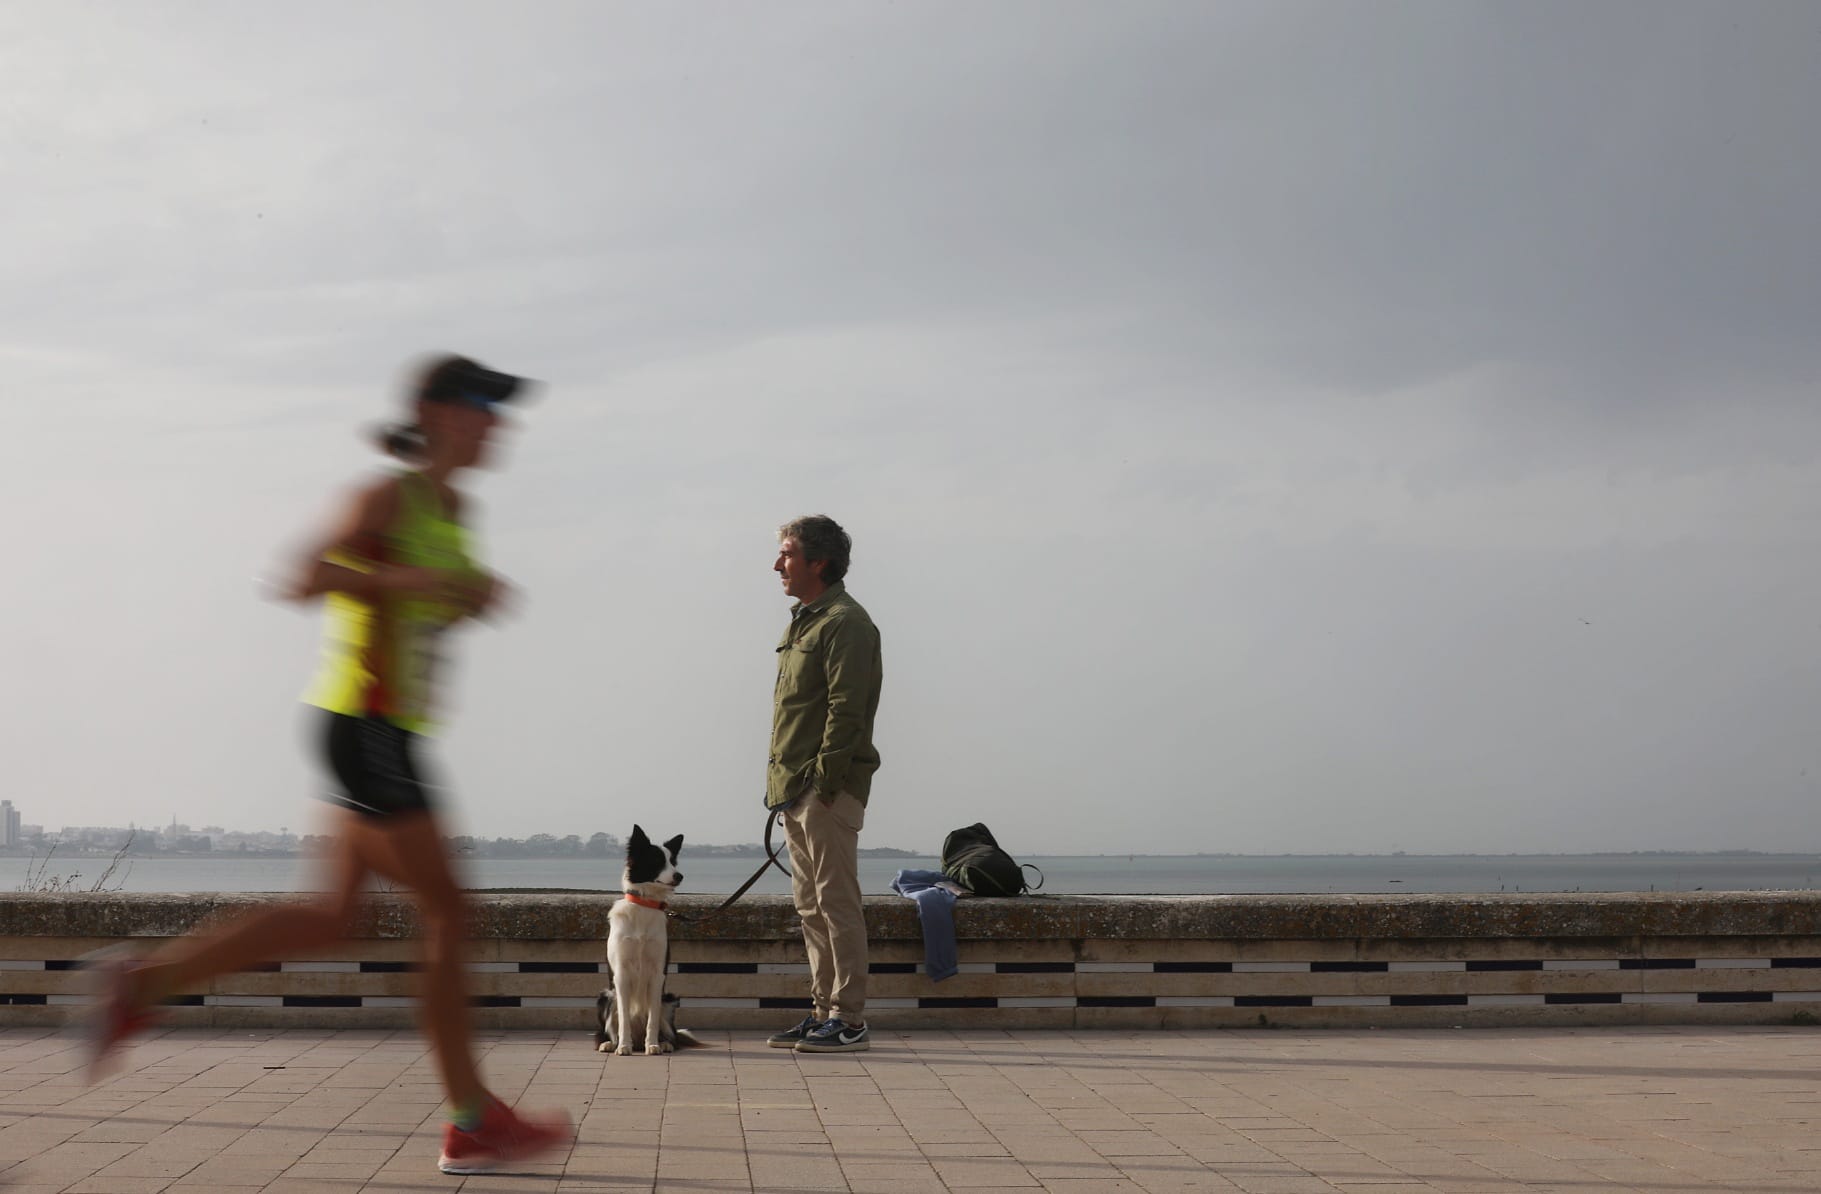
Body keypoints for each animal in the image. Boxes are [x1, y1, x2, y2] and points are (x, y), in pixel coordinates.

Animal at [600, 829, 706, 1055]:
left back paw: (663, 1043)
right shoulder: (621, 974)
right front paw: (624, 1046)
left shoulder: (658, 972)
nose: (679, 875)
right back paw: (611, 1043)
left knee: (669, 1032)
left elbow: (653, 1018)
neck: (644, 904)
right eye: (657, 860)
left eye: (673, 861)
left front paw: (653, 1045)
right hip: (606, 998)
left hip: (669, 1001)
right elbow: (624, 1018)